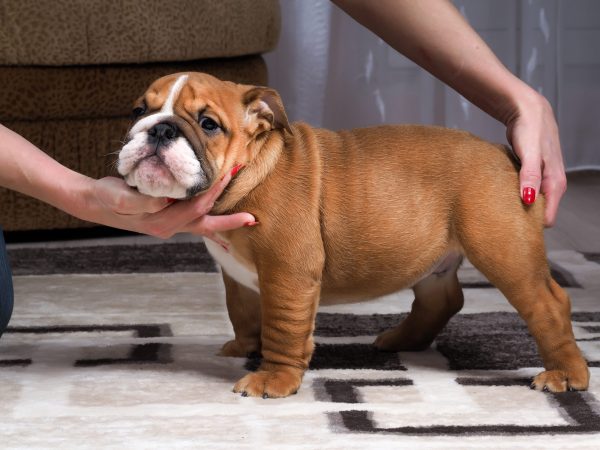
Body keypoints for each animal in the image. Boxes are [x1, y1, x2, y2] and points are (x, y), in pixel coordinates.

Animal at [117, 72, 589, 398]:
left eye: (208, 123)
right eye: (139, 111)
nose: (159, 128)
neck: (248, 172)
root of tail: (508, 155)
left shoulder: (288, 273)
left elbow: (282, 327)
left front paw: (274, 378)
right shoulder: (238, 276)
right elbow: (244, 313)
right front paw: (243, 348)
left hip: (503, 249)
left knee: (549, 303)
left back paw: (567, 374)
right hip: (434, 259)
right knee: (443, 298)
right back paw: (403, 340)